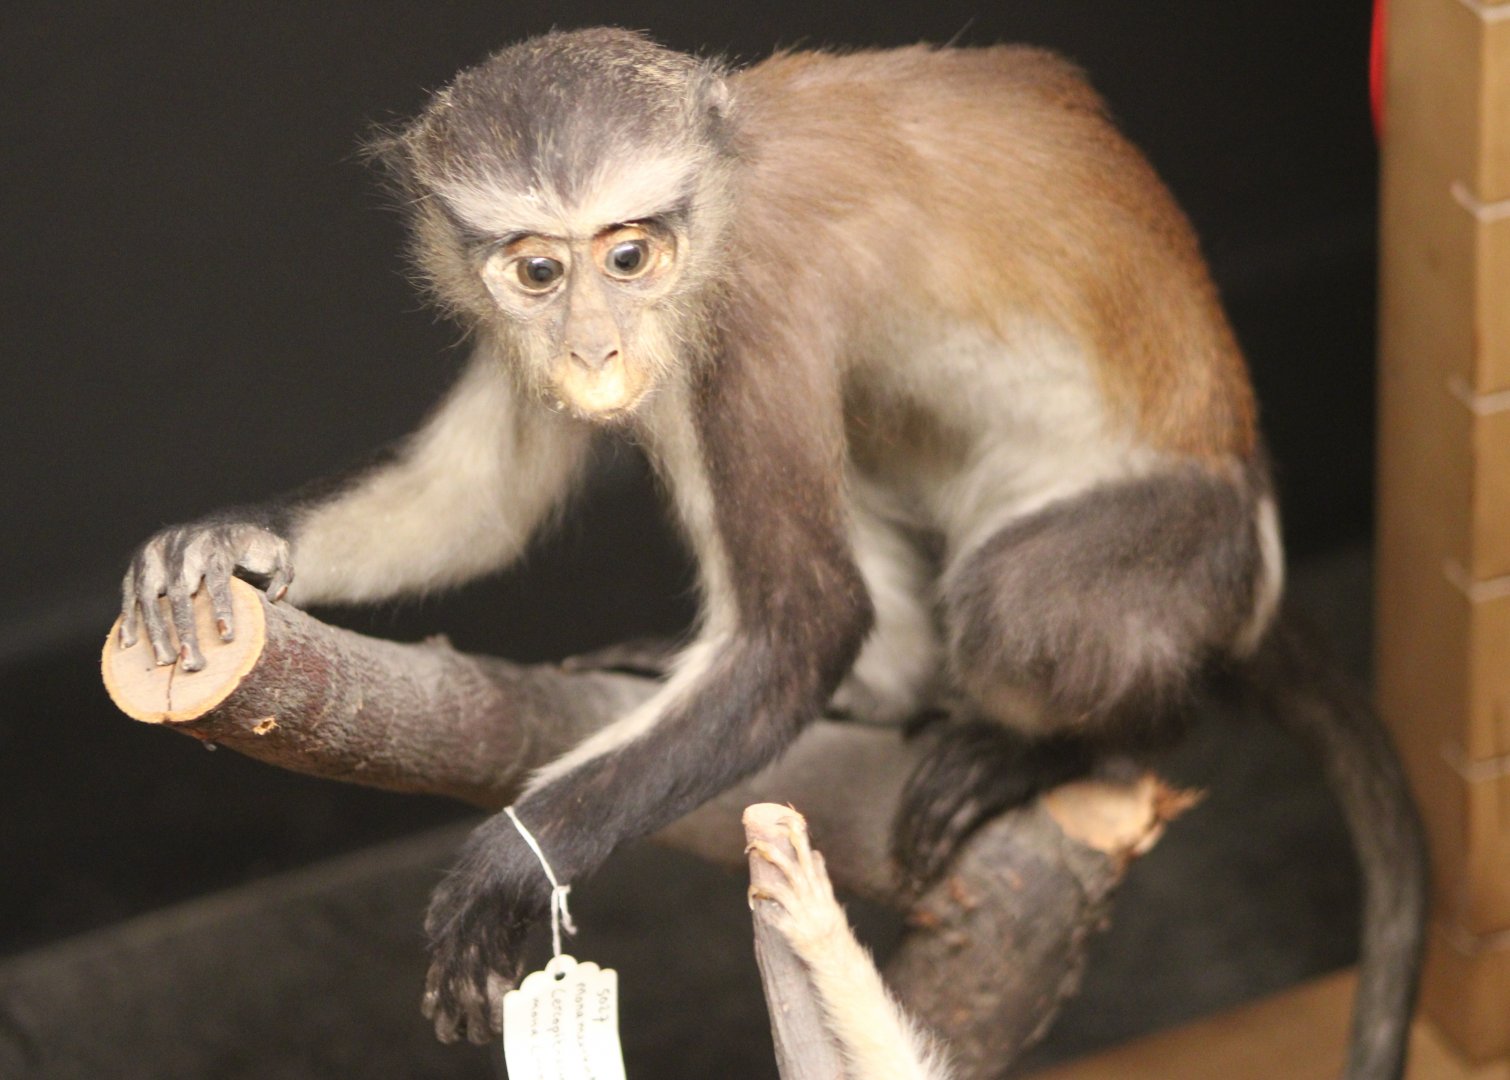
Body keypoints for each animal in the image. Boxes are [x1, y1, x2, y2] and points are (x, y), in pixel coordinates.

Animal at [116, 28, 1425, 1077]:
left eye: (628, 256)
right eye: (540, 269)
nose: (593, 348)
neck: (722, 184)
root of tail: (1251, 555)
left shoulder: (751, 303)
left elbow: (800, 625)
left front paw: (503, 869)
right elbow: (480, 500)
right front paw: (232, 544)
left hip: (1180, 552)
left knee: (1017, 599)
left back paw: (1049, 746)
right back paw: (878, 691)